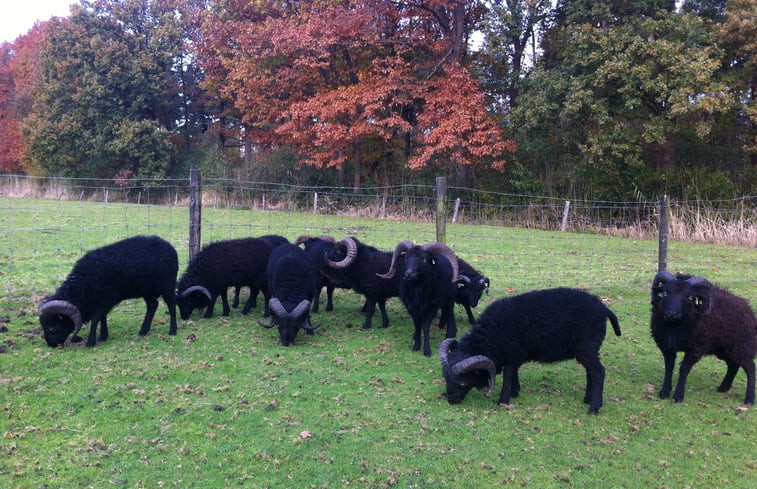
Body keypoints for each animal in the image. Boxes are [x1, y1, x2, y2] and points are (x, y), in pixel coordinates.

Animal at [39, 234, 179, 346]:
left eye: (51, 328)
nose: (50, 345)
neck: (83, 286)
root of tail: (170, 246)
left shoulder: (107, 300)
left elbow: (96, 318)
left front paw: (91, 342)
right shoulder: (102, 301)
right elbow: (103, 317)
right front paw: (103, 336)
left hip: (167, 285)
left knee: (171, 304)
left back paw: (172, 331)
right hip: (146, 290)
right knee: (153, 305)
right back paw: (143, 331)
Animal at [438, 288, 620, 414]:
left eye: (462, 383)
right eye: (446, 379)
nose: (451, 401)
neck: (491, 334)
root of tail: (604, 309)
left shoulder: (511, 354)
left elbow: (508, 375)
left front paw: (503, 401)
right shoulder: (515, 354)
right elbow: (514, 374)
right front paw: (515, 392)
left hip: (587, 348)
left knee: (598, 372)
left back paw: (594, 408)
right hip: (586, 350)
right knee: (591, 372)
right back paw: (587, 399)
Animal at [648, 270, 756, 404]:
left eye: (690, 297)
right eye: (665, 293)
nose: (672, 313)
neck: (675, 327)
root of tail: (749, 309)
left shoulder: (695, 349)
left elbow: (684, 369)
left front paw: (678, 396)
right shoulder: (667, 347)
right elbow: (669, 367)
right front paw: (664, 392)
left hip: (741, 346)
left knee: (750, 367)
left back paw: (749, 398)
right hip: (725, 349)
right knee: (733, 365)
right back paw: (723, 388)